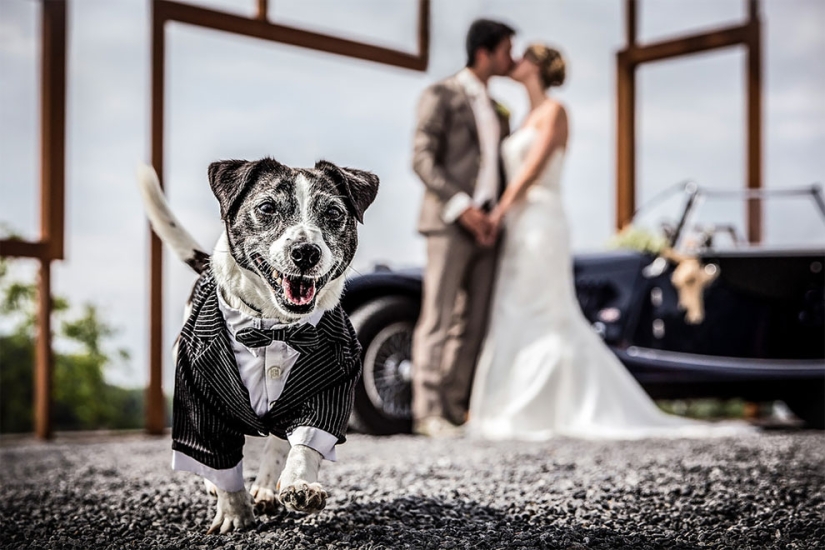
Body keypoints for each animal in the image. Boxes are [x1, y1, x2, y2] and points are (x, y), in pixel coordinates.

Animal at [136, 158, 380, 536]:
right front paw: (235, 511)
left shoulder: (329, 387)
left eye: (333, 212)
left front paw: (299, 485)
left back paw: (266, 488)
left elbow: (305, 442)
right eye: (267, 207)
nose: (305, 252)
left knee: (277, 442)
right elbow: (217, 457)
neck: (276, 327)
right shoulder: (198, 395)